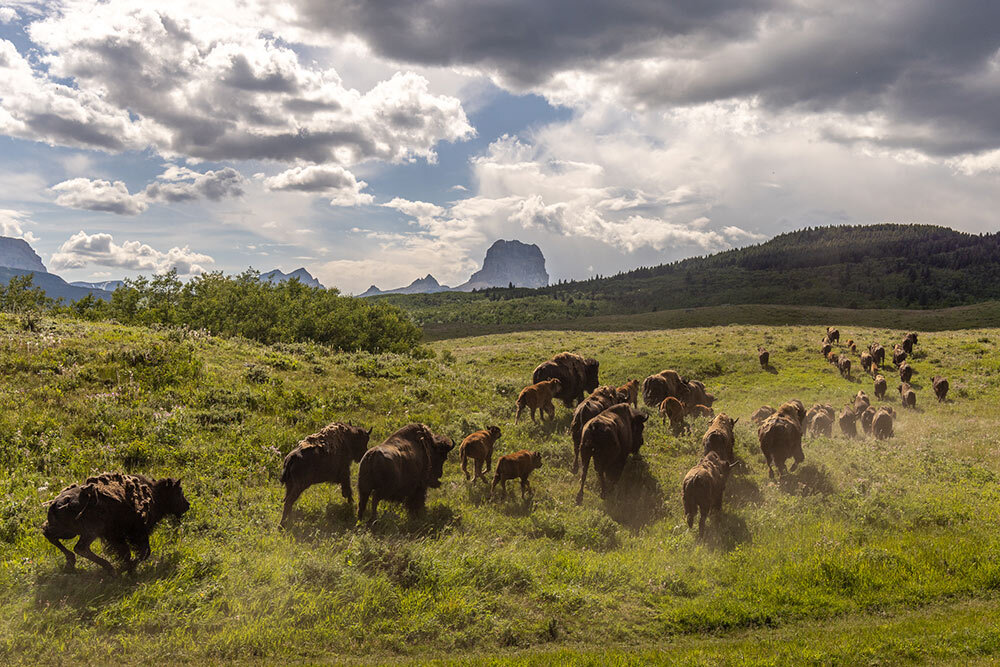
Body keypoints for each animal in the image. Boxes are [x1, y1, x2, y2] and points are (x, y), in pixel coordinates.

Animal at [42, 472, 189, 576]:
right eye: (179, 491)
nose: (187, 505)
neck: (153, 494)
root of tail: (56, 503)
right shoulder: (134, 534)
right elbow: (142, 552)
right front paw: (127, 568)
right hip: (89, 532)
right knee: (80, 547)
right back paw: (110, 569)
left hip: (69, 532)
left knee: (49, 535)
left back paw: (71, 563)